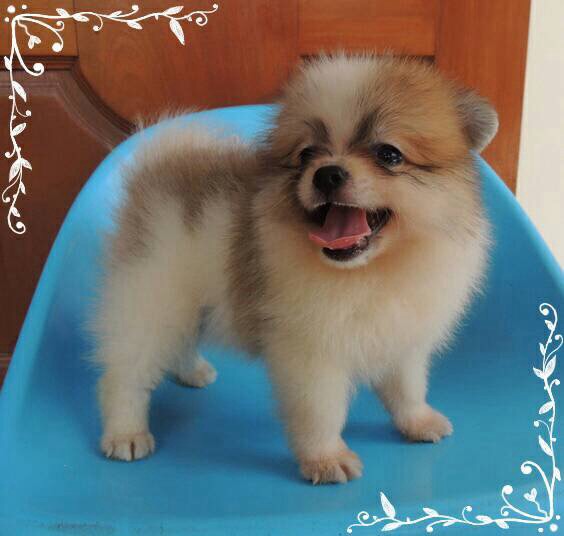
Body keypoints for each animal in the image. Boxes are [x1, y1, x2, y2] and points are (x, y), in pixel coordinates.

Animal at [93, 54, 497, 484]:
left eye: (388, 154)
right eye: (306, 155)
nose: (327, 172)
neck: (371, 271)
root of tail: (158, 167)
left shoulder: (402, 337)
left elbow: (407, 388)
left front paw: (418, 422)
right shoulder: (311, 352)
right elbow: (321, 411)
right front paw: (326, 458)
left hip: (188, 302)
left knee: (180, 340)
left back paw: (192, 371)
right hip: (152, 295)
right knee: (126, 372)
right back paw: (125, 433)